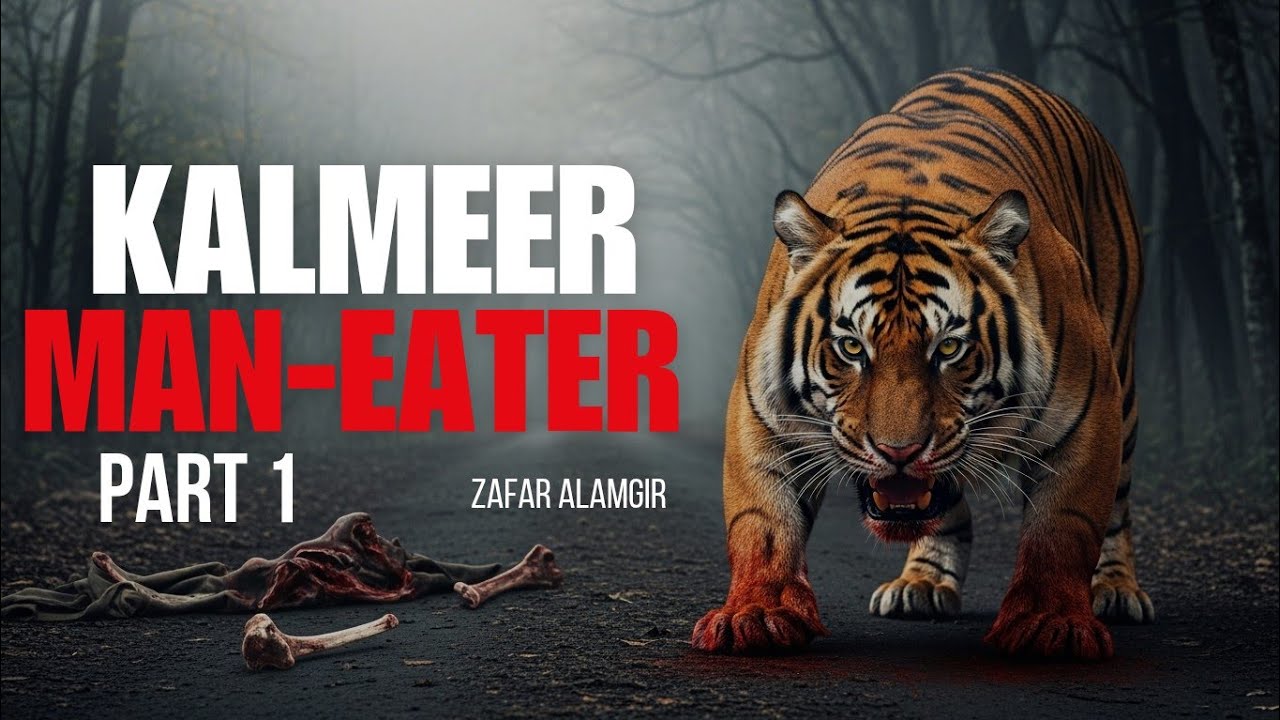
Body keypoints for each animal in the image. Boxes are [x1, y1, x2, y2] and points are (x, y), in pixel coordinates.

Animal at [691, 68, 1154, 660]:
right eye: (851, 348)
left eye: (949, 349)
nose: (899, 452)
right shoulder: (762, 415)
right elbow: (765, 521)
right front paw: (756, 614)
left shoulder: (1088, 411)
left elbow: (1064, 528)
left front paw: (1053, 623)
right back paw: (923, 581)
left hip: (1123, 376)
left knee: (1116, 505)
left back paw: (1116, 591)